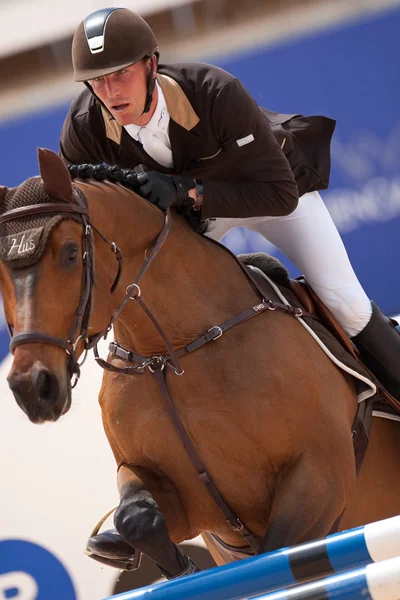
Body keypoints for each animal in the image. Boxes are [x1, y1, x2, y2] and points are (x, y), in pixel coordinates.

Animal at [0, 148, 400, 580]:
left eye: (71, 254)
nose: (33, 387)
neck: (173, 350)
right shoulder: (181, 496)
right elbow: (137, 518)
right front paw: (184, 569)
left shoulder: (318, 478)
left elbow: (274, 557)